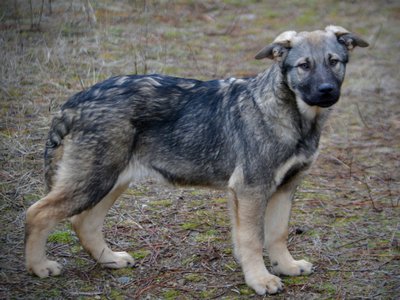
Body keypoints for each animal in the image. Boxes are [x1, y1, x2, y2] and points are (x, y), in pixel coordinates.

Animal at [25, 26, 368, 296]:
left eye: (334, 62)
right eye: (303, 66)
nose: (326, 91)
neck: (292, 115)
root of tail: (76, 101)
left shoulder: (284, 187)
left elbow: (277, 233)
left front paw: (285, 266)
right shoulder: (251, 188)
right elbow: (253, 238)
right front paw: (260, 279)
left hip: (112, 179)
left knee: (84, 222)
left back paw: (110, 260)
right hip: (94, 178)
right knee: (37, 213)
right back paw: (39, 267)